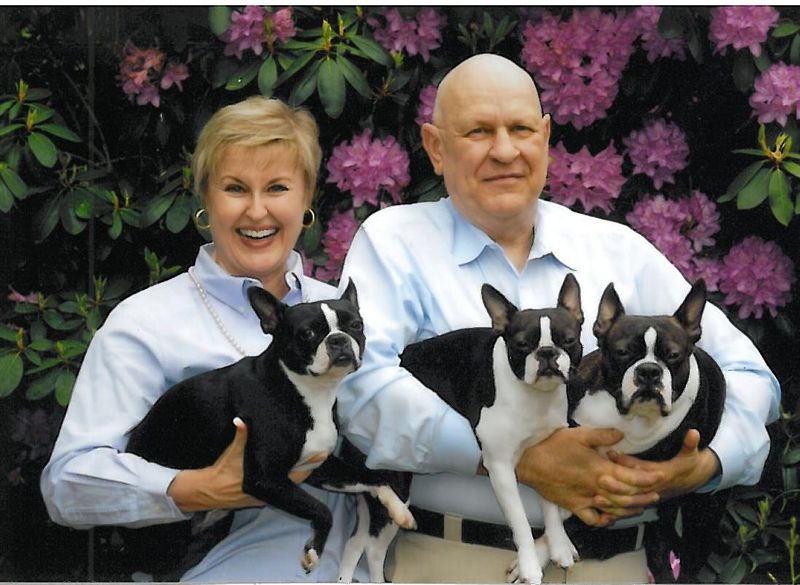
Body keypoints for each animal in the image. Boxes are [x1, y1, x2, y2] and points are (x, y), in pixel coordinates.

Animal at [125, 280, 415, 577]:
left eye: (356, 325)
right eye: (307, 333)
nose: (338, 339)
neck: (307, 391)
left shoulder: (317, 468)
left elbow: (371, 477)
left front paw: (399, 509)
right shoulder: (264, 479)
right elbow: (321, 509)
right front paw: (313, 551)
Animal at [338, 273, 585, 585]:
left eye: (570, 340)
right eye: (521, 345)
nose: (548, 352)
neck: (533, 396)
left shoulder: (551, 461)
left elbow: (550, 505)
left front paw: (559, 544)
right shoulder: (501, 467)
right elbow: (520, 521)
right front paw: (529, 565)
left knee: (355, 542)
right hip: (396, 490)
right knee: (373, 549)